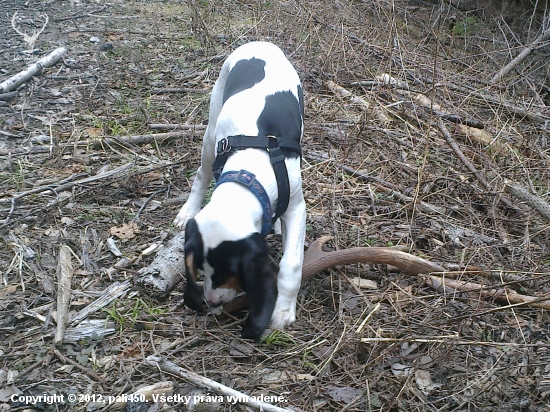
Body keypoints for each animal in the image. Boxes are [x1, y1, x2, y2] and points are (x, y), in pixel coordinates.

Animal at [175, 41, 306, 338]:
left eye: (228, 271)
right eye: (200, 268)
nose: (211, 301)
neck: (248, 175)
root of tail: (260, 42)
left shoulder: (296, 206)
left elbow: (291, 264)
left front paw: (283, 311)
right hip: (211, 132)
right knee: (201, 174)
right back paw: (188, 210)